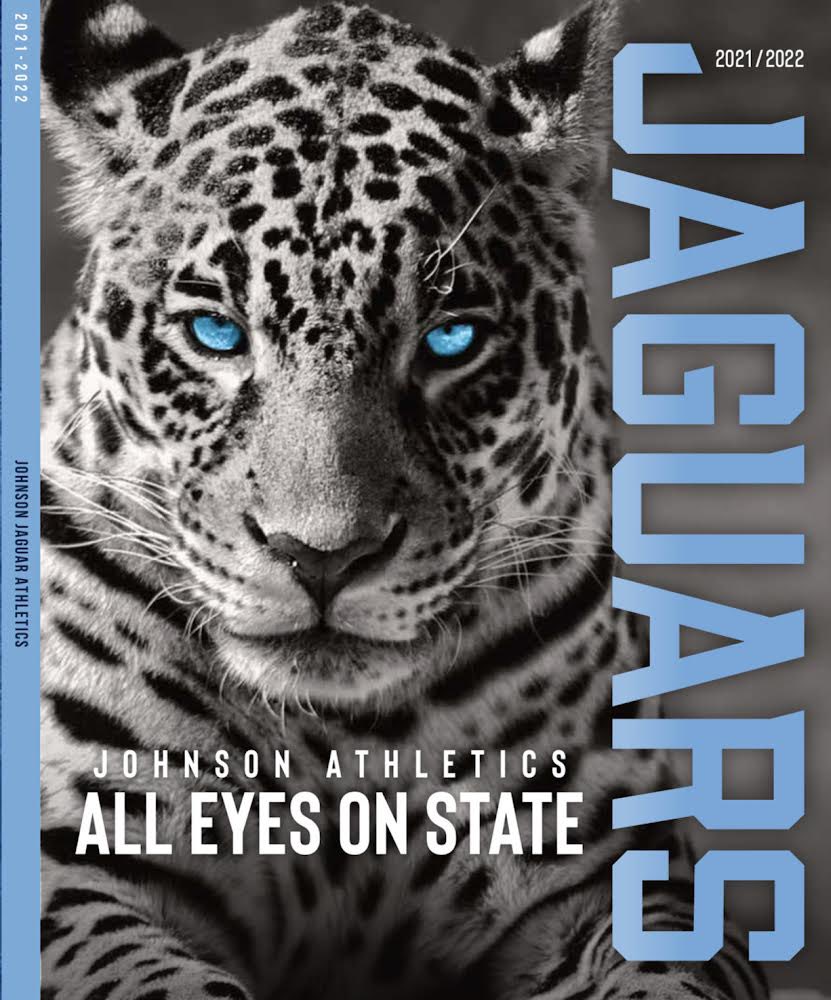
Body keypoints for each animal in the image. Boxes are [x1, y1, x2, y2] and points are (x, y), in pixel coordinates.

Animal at [39, 1, 768, 999]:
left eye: (450, 339)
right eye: (215, 332)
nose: (322, 558)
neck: (344, 733)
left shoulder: (624, 871)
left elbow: (667, 974)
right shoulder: (73, 869)